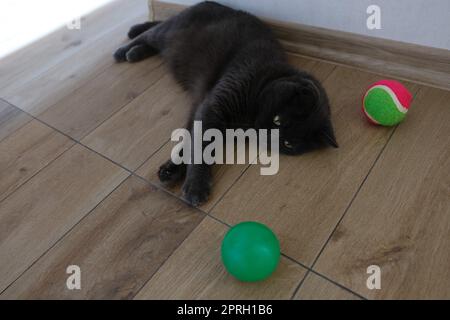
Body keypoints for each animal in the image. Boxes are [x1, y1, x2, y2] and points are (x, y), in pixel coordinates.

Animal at [114, 1, 336, 206]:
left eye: (289, 144)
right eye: (278, 120)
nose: (268, 137)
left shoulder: (203, 109)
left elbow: (191, 140)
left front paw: (173, 169)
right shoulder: (214, 106)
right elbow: (201, 145)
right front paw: (196, 186)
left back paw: (135, 53)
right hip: (168, 32)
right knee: (149, 33)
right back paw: (123, 50)